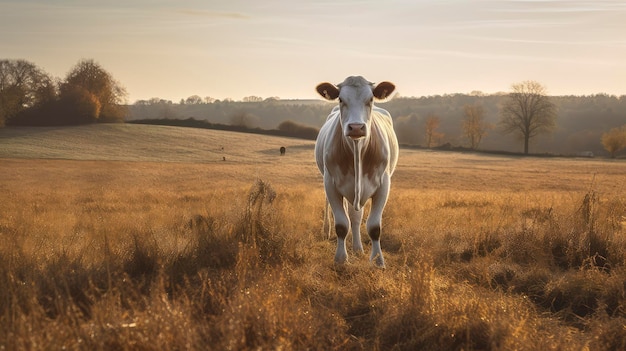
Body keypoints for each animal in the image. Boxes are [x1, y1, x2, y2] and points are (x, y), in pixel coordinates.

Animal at [314, 76, 398, 270]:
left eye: (371, 99)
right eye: (340, 99)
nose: (356, 127)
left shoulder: (383, 184)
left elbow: (374, 227)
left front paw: (378, 261)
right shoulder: (331, 183)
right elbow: (341, 225)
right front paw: (340, 259)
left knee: (356, 216)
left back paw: (358, 248)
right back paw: (327, 231)